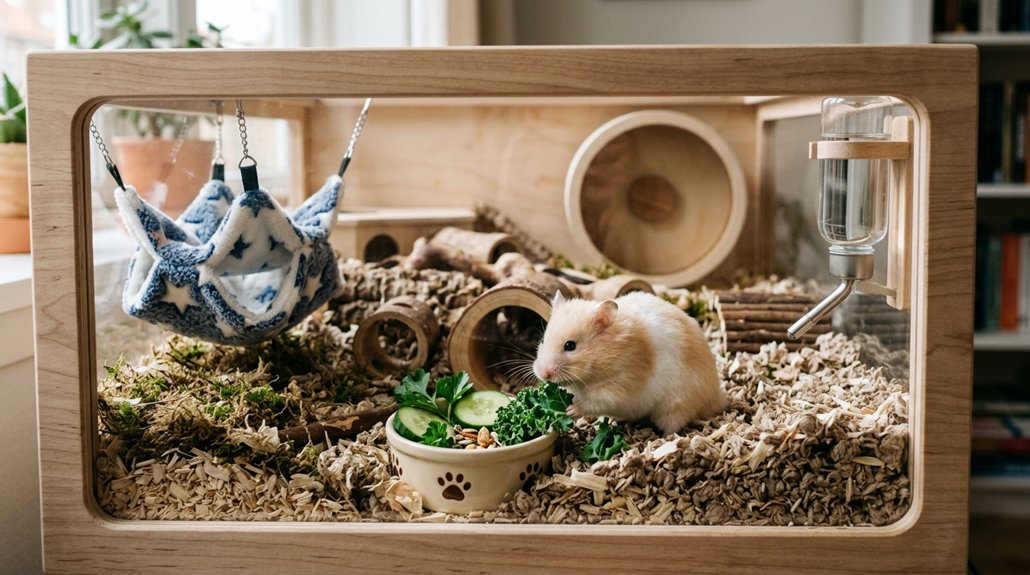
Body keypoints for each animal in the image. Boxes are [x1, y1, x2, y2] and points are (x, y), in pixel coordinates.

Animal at [533, 291, 728, 435]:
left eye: (570, 346)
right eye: (542, 340)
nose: (543, 374)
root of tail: (717, 396)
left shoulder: (617, 390)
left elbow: (594, 402)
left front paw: (570, 410)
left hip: (677, 405)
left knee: (673, 426)